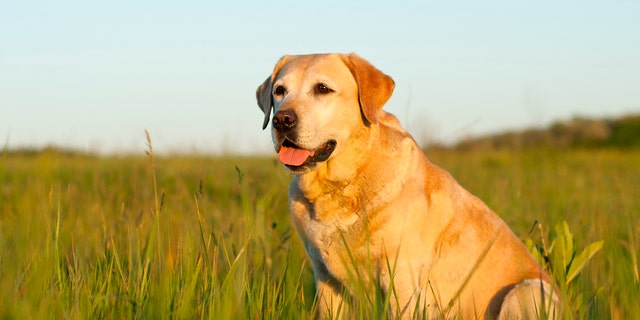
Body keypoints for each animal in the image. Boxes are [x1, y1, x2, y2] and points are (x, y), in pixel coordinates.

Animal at [256, 53, 560, 318]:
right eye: (279, 91)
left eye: (322, 89)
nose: (282, 120)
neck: (342, 185)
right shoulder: (326, 279)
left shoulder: (400, 276)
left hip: (525, 292)